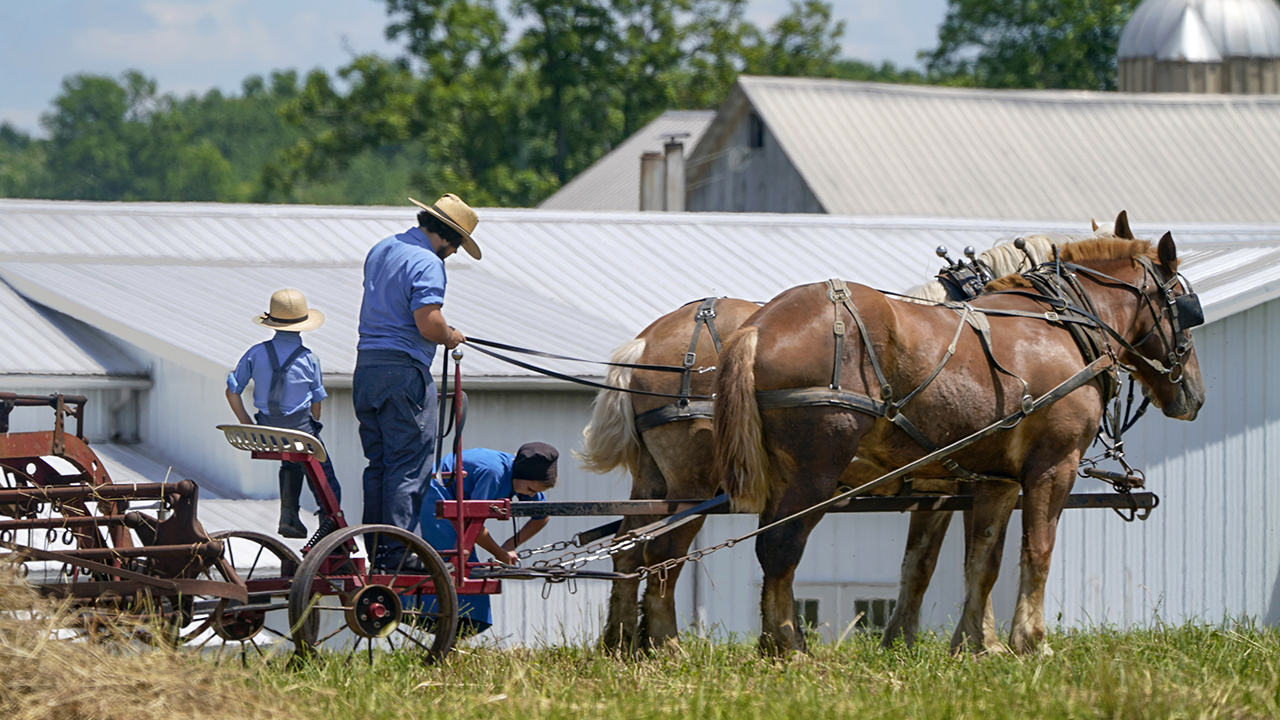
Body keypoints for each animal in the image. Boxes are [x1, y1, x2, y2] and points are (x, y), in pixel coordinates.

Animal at [712, 213, 1205, 656]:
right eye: (1185, 307)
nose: (1196, 395)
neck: (1064, 326)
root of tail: (759, 324)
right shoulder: (1053, 465)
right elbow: (1037, 550)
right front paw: (1031, 642)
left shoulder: (987, 481)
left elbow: (974, 563)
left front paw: (973, 644)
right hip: (815, 470)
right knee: (780, 546)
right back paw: (788, 645)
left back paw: (773, 642)